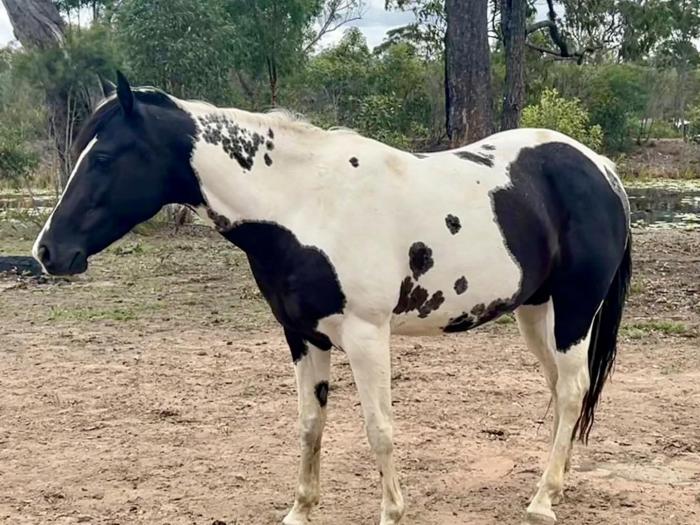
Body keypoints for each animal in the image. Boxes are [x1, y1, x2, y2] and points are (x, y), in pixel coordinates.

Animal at [33, 72, 631, 525]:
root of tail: (601, 168)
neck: (307, 206)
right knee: (562, 390)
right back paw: (557, 482)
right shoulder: (302, 335)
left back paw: (542, 500)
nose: (47, 251)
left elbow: (379, 430)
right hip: (536, 312)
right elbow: (309, 424)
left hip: (576, 308)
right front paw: (300, 511)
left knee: (572, 389)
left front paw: (392, 514)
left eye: (105, 157)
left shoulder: (367, 337)